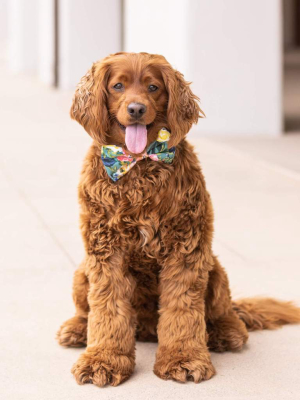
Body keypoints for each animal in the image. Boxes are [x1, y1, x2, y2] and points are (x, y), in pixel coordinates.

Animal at [56, 51, 300, 386]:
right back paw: (78, 329)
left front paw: (183, 359)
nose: (136, 109)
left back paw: (225, 332)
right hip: (83, 270)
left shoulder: (186, 248)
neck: (139, 164)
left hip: (214, 268)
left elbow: (182, 308)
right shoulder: (106, 251)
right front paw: (102, 360)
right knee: (87, 310)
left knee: (225, 311)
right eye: (118, 85)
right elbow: (106, 308)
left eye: (153, 87)